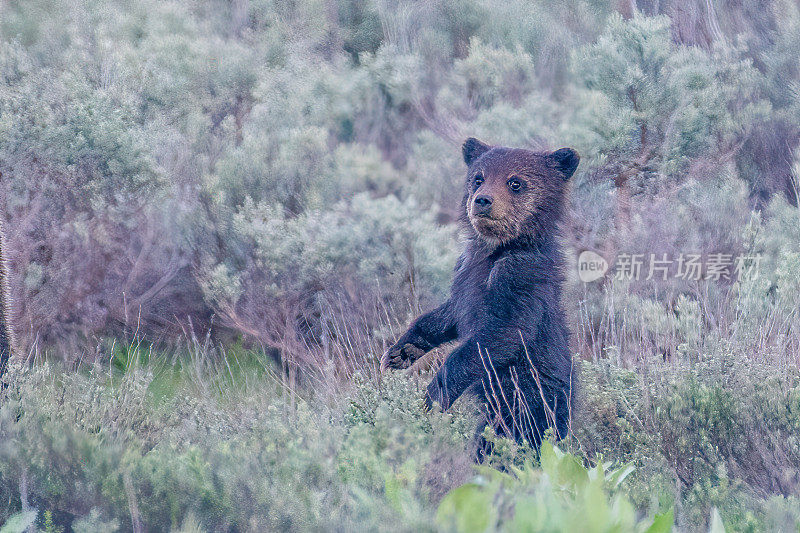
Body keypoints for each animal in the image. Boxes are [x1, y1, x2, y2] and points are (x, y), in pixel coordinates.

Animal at [382, 139, 576, 460]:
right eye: (478, 177)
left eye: (515, 182)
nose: (483, 200)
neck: (494, 252)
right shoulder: (465, 274)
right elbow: (447, 315)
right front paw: (401, 350)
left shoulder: (519, 279)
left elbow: (500, 335)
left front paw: (434, 395)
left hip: (529, 402)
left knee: (512, 440)